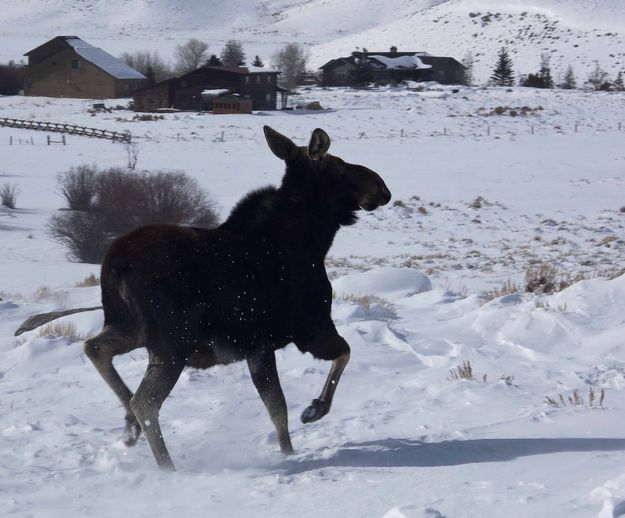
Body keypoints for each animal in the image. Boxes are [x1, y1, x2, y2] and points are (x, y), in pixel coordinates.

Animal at [18, 127, 390, 472]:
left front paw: (288, 449)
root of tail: (115, 267)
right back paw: (166, 465)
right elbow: (339, 357)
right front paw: (313, 411)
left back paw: (130, 428)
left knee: (96, 349)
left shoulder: (259, 347)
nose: (382, 188)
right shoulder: (309, 326)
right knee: (146, 401)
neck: (316, 237)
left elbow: (276, 409)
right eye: (339, 165)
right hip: (172, 342)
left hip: (131, 328)